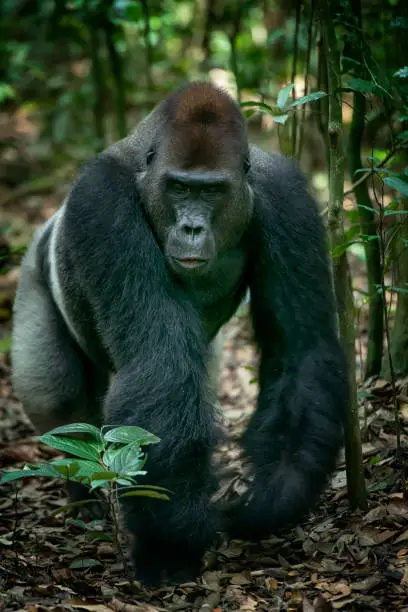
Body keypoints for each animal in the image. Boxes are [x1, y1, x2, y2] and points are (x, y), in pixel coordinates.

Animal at [11, 80, 348, 584]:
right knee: (58, 400)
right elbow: (160, 364)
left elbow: (301, 348)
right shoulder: (100, 199)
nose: (191, 227)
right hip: (34, 270)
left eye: (211, 191)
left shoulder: (287, 198)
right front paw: (172, 541)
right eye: (179, 187)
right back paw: (82, 497)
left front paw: (272, 497)